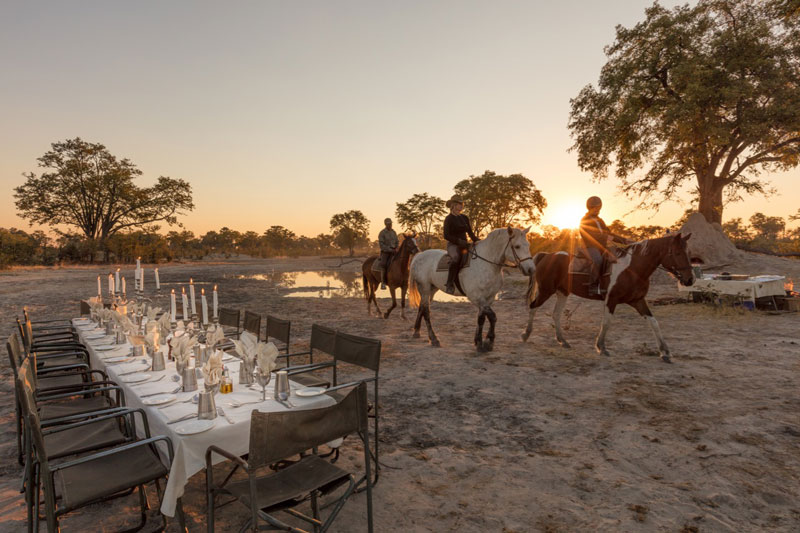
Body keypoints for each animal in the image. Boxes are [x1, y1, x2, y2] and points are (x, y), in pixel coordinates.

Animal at [521, 233, 695, 363]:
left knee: (556, 314)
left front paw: (665, 352)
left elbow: (654, 323)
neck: (632, 269)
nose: (690, 280)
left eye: (689, 253)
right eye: (677, 253)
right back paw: (526, 334)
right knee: (533, 307)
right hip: (546, 291)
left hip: (562, 293)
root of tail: (547, 256)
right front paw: (601, 347)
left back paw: (563, 341)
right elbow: (606, 322)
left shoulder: (638, 301)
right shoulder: (611, 300)